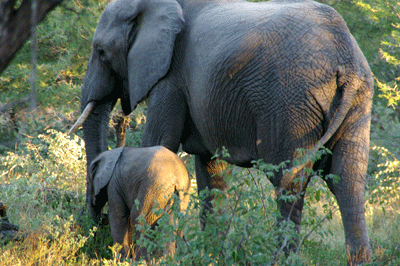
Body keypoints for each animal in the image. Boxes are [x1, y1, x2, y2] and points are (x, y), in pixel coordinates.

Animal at [69, 0, 376, 262]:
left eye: (101, 53)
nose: (96, 222)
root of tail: (346, 59)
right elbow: (211, 171)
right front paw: (210, 256)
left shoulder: (171, 78)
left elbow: (158, 141)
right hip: (358, 102)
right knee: (348, 182)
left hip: (292, 103)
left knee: (290, 182)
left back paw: (280, 259)